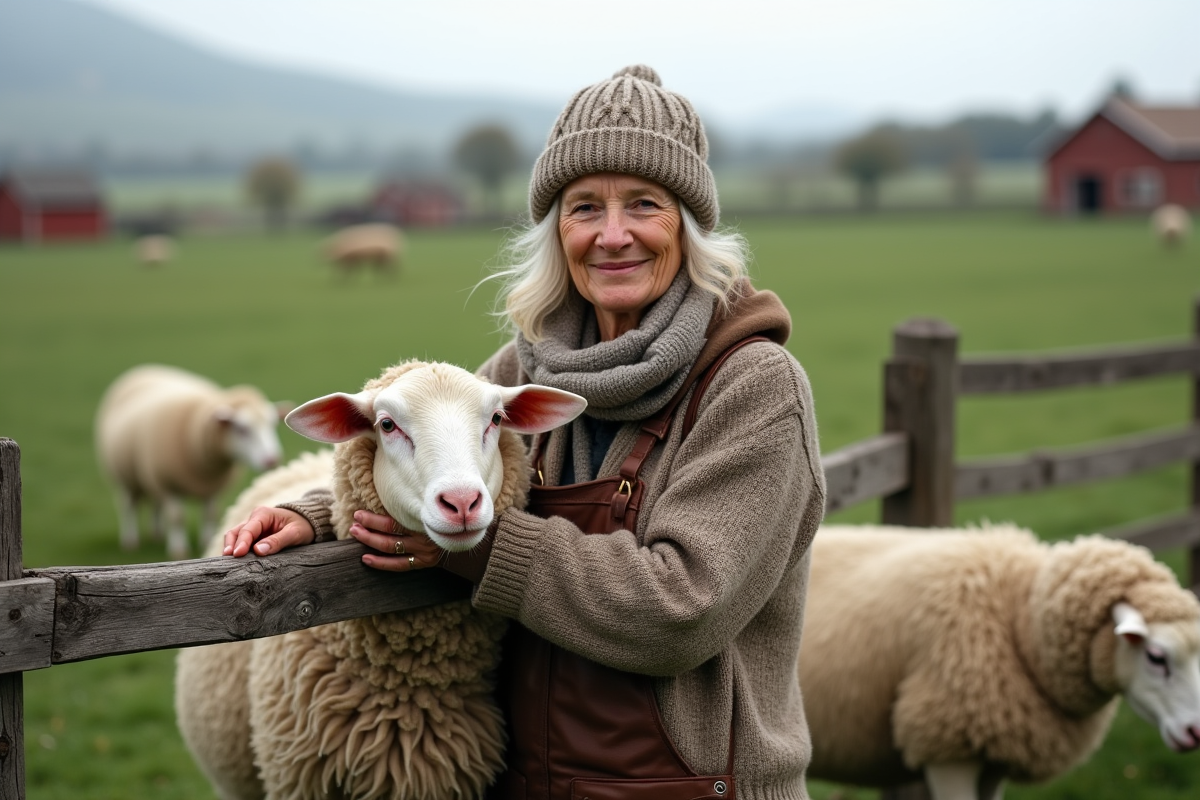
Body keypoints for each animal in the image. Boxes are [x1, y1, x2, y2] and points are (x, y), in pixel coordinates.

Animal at [95, 364, 289, 560]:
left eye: (272, 425)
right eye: (242, 429)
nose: (272, 460)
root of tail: (145, 368)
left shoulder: (210, 487)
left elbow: (210, 514)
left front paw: (207, 541)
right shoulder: (167, 485)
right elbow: (177, 517)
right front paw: (178, 549)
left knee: (155, 504)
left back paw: (156, 534)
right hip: (125, 477)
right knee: (129, 506)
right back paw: (130, 540)